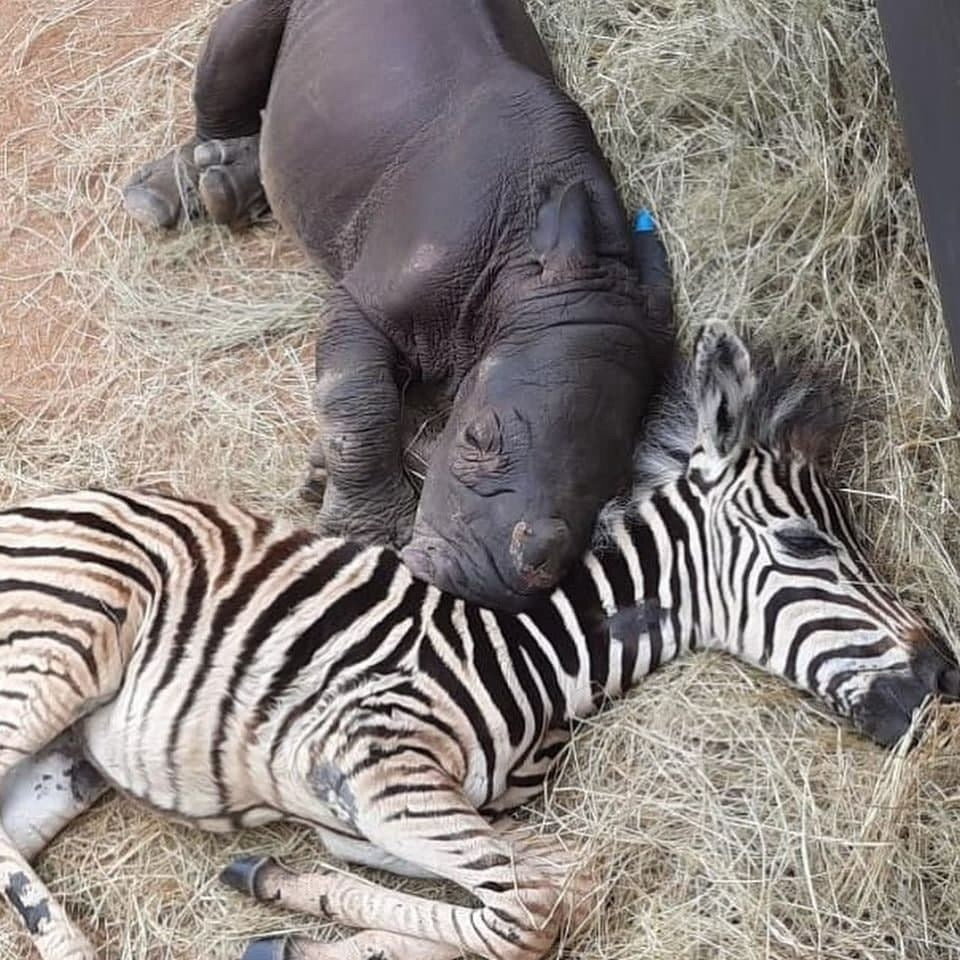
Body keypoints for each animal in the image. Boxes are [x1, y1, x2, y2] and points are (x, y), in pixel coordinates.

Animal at [0, 328, 956, 960]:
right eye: (805, 542)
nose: (945, 676)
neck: (539, 657)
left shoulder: (369, 812)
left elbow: (560, 882)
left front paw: (287, 906)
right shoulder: (373, 768)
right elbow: (526, 914)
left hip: (67, 760)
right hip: (61, 642)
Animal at [125, 0, 676, 612]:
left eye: (613, 489)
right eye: (475, 439)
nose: (481, 584)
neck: (528, 280)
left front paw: (321, 475)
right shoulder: (368, 303)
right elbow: (358, 405)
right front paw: (367, 534)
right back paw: (180, 191)